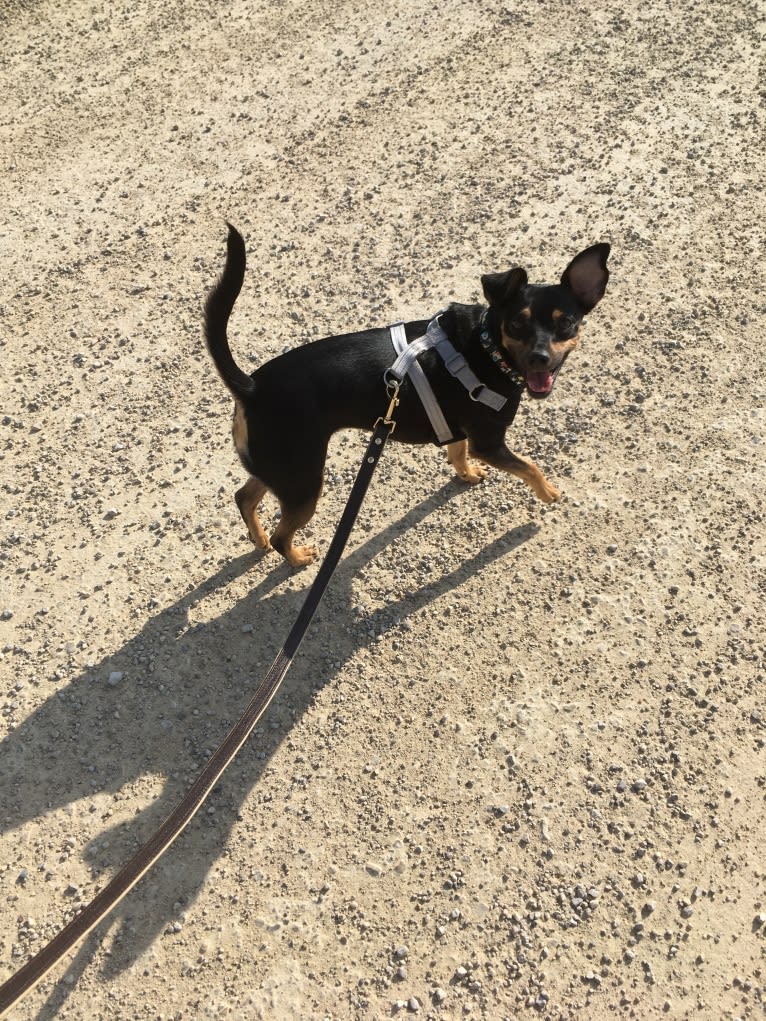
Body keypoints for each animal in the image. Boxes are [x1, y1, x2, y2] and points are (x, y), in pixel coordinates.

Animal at [205, 222, 612, 567]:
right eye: (516, 324)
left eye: (565, 323)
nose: (540, 357)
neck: (487, 346)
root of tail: (252, 388)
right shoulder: (490, 442)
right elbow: (530, 465)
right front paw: (548, 491)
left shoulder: (459, 430)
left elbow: (457, 452)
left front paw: (467, 474)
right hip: (304, 481)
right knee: (280, 533)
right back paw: (296, 557)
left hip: (283, 470)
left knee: (245, 497)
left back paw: (258, 539)